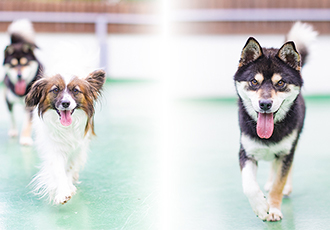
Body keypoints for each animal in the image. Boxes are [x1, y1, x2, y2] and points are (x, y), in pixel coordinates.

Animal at [26, 69, 105, 204]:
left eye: (76, 91)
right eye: (55, 90)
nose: (66, 103)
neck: (66, 127)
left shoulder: (78, 147)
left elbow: (69, 168)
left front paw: (69, 185)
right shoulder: (54, 148)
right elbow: (58, 170)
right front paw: (62, 192)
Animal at [233, 22, 318, 221]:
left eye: (280, 83)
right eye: (254, 82)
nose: (265, 104)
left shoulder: (286, 152)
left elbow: (279, 183)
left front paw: (273, 209)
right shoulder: (246, 152)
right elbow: (249, 185)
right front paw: (260, 206)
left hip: (292, 143)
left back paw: (285, 187)